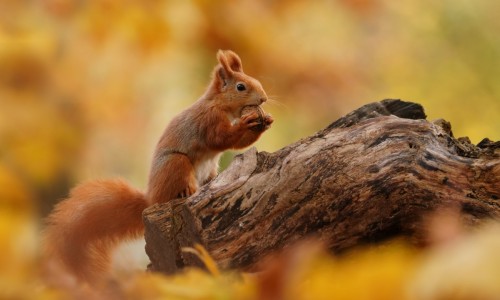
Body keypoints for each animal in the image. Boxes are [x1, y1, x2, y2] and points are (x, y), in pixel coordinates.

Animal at [44, 50, 274, 284]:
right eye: (240, 87)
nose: (264, 98)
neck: (219, 104)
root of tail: (151, 199)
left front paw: (266, 121)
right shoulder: (208, 120)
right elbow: (221, 138)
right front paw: (248, 123)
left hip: (209, 170)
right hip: (176, 163)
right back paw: (187, 191)